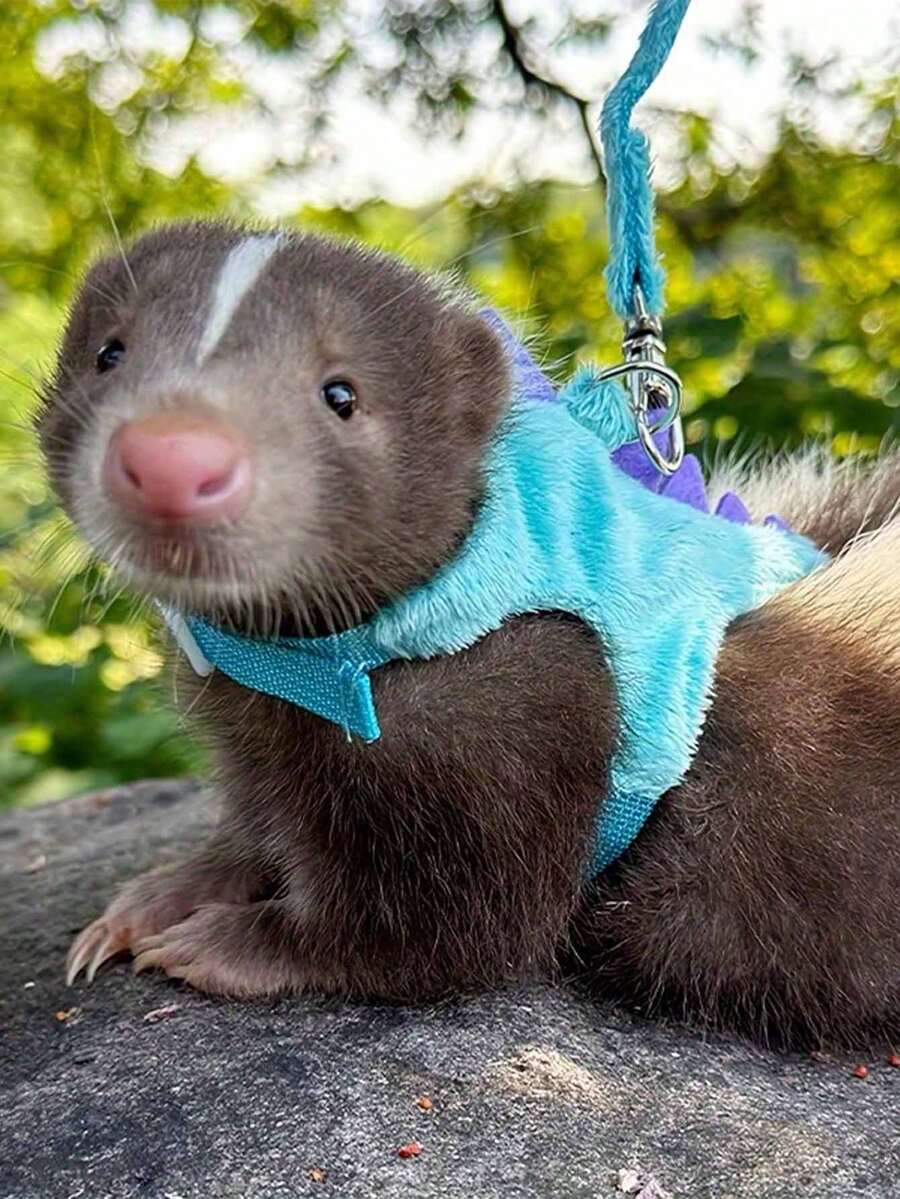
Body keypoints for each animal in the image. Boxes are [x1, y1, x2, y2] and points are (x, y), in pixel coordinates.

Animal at [38, 220, 900, 1049]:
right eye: (110, 352)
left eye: (341, 395)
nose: (172, 457)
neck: (304, 650)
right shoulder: (259, 721)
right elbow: (260, 815)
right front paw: (166, 893)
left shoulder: (526, 704)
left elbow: (460, 925)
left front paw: (225, 940)